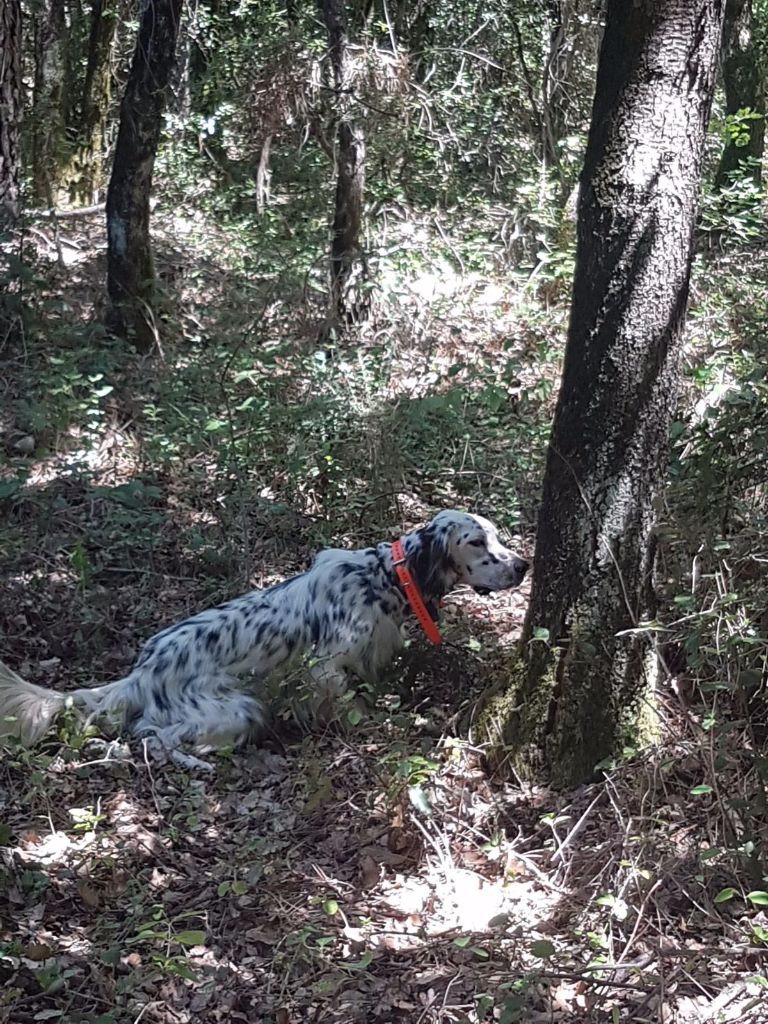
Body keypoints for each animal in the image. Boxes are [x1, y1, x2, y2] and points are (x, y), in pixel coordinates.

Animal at [0, 509, 528, 770]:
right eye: (476, 542)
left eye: (497, 536)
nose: (522, 565)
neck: (383, 576)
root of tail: (142, 673)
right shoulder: (326, 669)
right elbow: (349, 709)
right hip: (237, 708)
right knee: (150, 737)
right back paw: (198, 763)